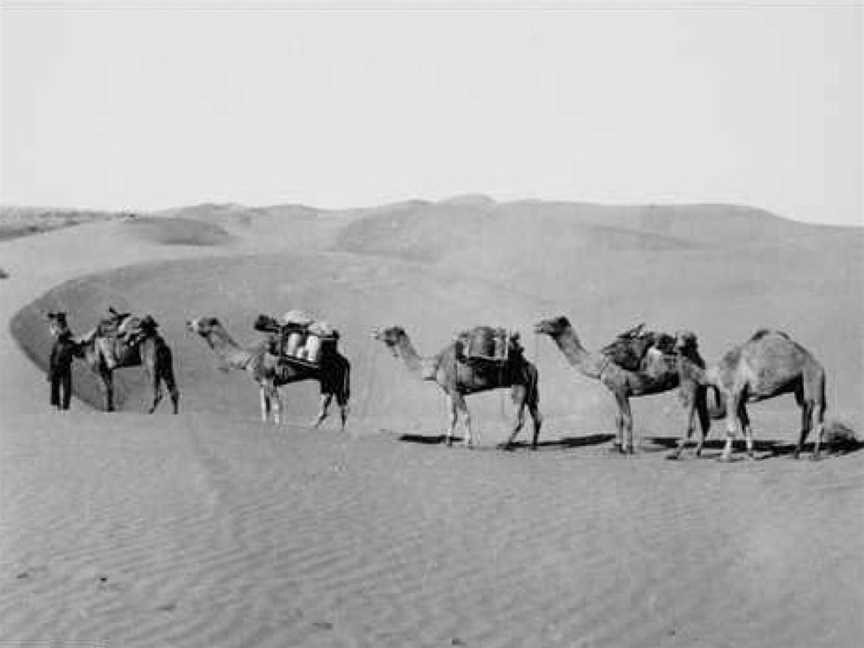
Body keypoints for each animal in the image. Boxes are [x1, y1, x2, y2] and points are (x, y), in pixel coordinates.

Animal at [187, 316, 350, 428]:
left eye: (201, 322)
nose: (188, 323)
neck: (249, 356)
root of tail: (345, 360)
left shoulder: (269, 379)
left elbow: (277, 406)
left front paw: (278, 425)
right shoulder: (261, 382)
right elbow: (265, 407)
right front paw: (266, 423)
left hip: (332, 380)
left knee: (338, 407)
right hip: (329, 383)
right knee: (335, 407)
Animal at [372, 326, 540, 448]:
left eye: (388, 331)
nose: (374, 332)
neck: (436, 364)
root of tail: (531, 366)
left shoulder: (455, 389)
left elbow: (465, 415)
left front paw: (468, 443)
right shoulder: (448, 391)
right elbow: (452, 416)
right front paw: (448, 441)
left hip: (519, 386)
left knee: (519, 419)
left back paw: (504, 445)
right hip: (530, 391)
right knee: (537, 416)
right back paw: (532, 445)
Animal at [532, 316, 708, 454]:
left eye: (552, 321)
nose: (536, 325)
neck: (599, 363)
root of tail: (699, 358)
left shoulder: (621, 389)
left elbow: (628, 418)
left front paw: (628, 448)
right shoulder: (615, 391)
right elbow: (619, 418)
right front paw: (617, 446)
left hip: (690, 384)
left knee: (692, 421)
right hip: (700, 387)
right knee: (704, 420)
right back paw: (696, 451)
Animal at [664, 330, 828, 460]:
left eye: (689, 338)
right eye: (676, 337)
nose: (678, 347)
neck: (715, 374)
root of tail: (818, 363)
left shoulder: (732, 394)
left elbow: (731, 428)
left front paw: (724, 457)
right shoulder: (741, 399)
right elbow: (746, 426)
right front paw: (750, 454)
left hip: (813, 380)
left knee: (819, 420)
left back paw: (814, 455)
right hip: (801, 390)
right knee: (806, 421)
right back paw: (795, 454)